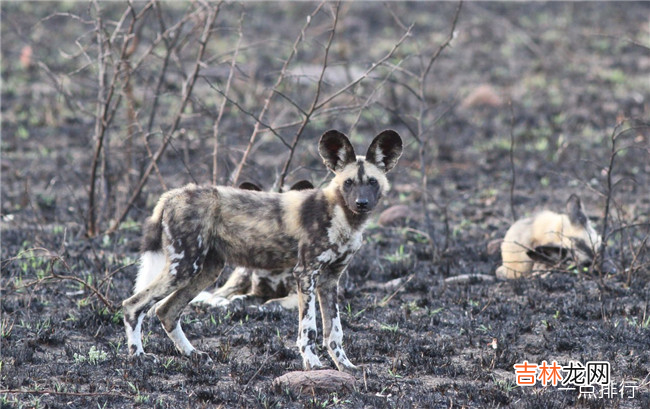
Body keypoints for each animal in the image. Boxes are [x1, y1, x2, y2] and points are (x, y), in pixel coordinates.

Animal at [187, 180, 314, 308]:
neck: (275, 269)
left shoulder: (296, 294)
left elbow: (273, 302)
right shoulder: (259, 293)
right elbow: (241, 298)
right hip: (241, 276)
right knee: (216, 295)